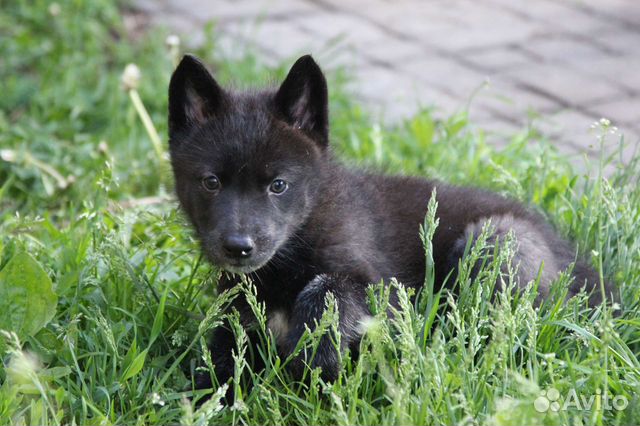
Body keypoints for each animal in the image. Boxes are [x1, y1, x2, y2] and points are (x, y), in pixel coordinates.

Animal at [168, 54, 608, 390]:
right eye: (211, 182)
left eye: (278, 185)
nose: (238, 247)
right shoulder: (237, 312)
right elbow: (220, 361)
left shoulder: (386, 289)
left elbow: (331, 289)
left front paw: (315, 352)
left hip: (495, 240)